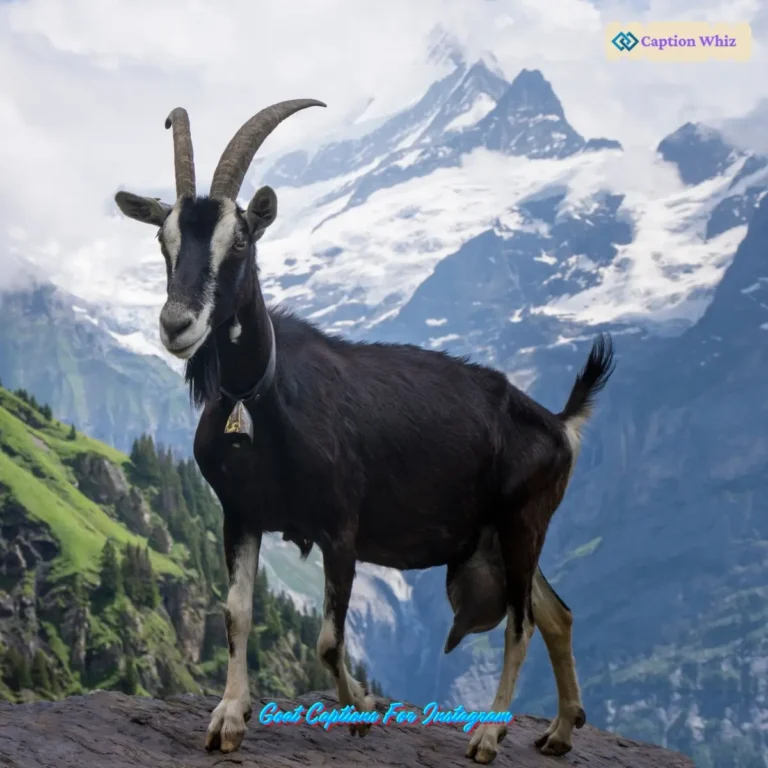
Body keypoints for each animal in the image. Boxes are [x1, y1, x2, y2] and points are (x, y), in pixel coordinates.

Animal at [114, 100, 615, 765]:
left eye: (241, 238)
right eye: (162, 237)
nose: (177, 324)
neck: (263, 397)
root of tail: (558, 423)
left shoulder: (341, 527)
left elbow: (328, 640)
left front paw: (363, 709)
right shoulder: (239, 514)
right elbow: (237, 614)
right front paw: (228, 718)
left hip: (523, 521)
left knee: (522, 621)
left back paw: (488, 734)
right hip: (499, 532)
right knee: (556, 613)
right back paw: (559, 731)